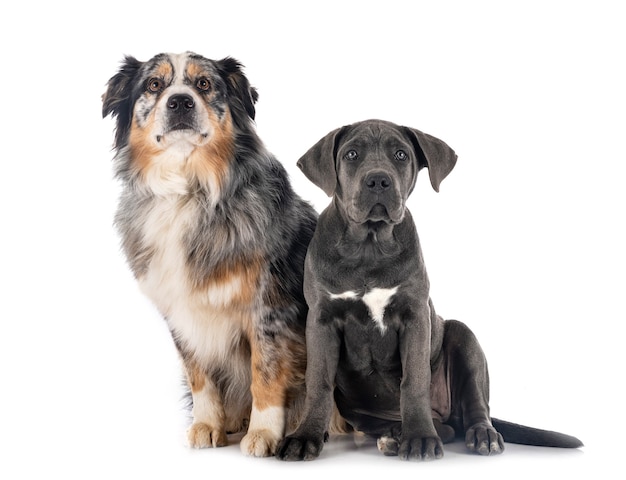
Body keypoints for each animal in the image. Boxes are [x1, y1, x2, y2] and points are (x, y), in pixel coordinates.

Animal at [103, 52, 316, 458]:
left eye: (203, 84)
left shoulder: (267, 308)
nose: (180, 102)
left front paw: (263, 434)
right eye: (154, 84)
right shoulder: (181, 313)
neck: (188, 189)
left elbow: (265, 374)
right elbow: (199, 375)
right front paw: (207, 426)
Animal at [276, 118, 580, 460]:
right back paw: (395, 435)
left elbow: (415, 381)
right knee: (436, 427)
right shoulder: (321, 320)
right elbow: (318, 382)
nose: (378, 180)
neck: (369, 245)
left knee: (473, 408)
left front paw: (420, 437)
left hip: (463, 337)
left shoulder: (416, 317)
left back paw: (478, 435)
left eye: (401, 155)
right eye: (351, 154)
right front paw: (305, 437)